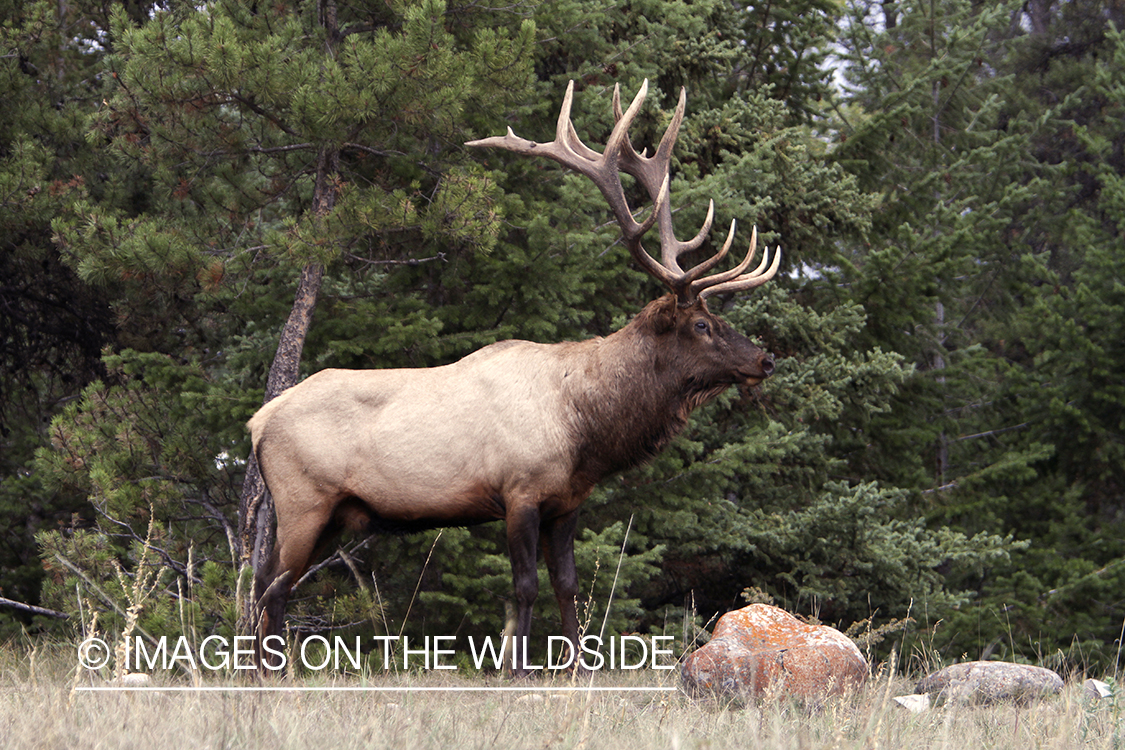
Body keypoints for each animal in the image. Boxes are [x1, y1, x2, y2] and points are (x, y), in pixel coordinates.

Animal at [248, 80, 781, 673]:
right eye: (702, 324)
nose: (764, 360)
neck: (586, 427)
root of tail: (257, 422)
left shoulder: (568, 502)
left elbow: (567, 585)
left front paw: (576, 669)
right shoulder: (518, 491)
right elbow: (525, 587)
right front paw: (516, 669)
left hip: (334, 513)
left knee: (264, 580)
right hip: (304, 500)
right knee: (273, 588)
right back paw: (268, 678)